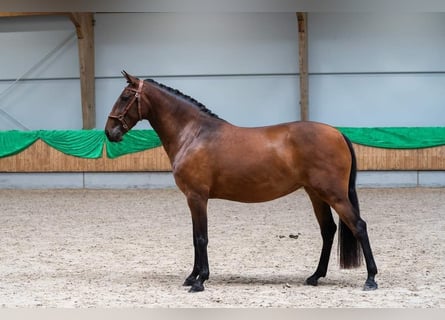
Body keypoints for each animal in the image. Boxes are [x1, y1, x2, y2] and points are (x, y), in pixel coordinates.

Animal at [105, 70, 378, 292]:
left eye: (125, 96)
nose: (109, 132)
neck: (194, 134)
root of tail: (337, 133)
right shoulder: (193, 199)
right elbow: (194, 237)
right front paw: (192, 276)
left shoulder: (197, 197)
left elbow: (201, 238)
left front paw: (200, 281)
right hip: (315, 194)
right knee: (328, 230)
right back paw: (314, 277)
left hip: (334, 194)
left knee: (359, 226)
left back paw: (370, 279)